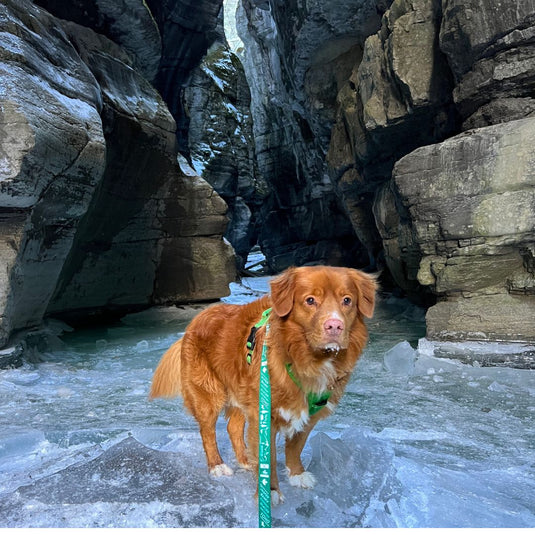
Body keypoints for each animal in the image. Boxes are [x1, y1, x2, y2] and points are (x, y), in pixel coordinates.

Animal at [149, 266, 378, 504]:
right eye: (310, 300)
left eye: (347, 300)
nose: (335, 326)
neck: (306, 360)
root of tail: (199, 317)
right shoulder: (264, 415)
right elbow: (269, 459)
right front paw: (271, 491)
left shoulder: (308, 412)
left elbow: (296, 445)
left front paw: (296, 474)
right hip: (208, 394)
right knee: (207, 431)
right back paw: (217, 465)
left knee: (233, 427)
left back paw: (244, 460)